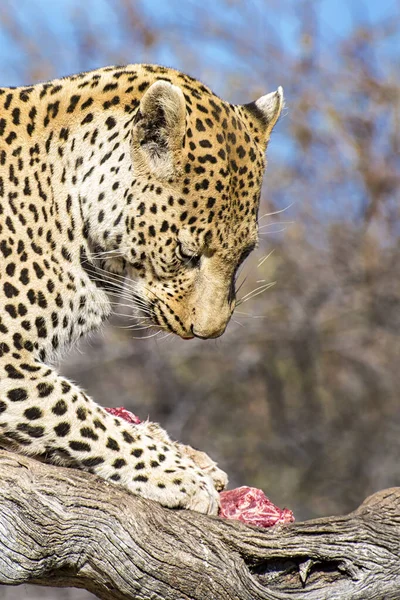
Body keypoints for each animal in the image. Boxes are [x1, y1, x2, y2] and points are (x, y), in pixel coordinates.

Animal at [0, 64, 282, 516]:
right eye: (187, 253)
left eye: (244, 254)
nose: (210, 333)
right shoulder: (8, 355)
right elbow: (81, 414)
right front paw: (181, 474)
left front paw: (185, 453)